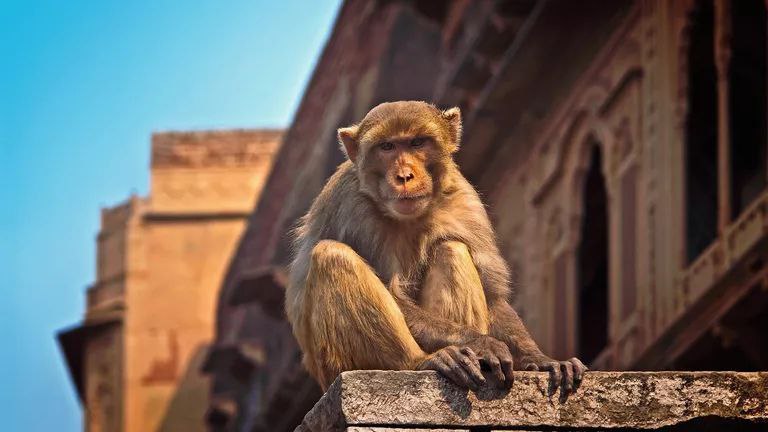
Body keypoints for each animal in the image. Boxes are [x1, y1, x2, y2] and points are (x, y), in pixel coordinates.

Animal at [284, 100, 584, 394]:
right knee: (332, 255)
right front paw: (481, 342)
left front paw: (539, 359)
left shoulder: (465, 201)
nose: (404, 176)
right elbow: (393, 292)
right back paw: (422, 361)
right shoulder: (350, 206)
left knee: (452, 248)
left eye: (417, 143)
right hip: (333, 366)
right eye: (387, 147)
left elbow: (493, 295)